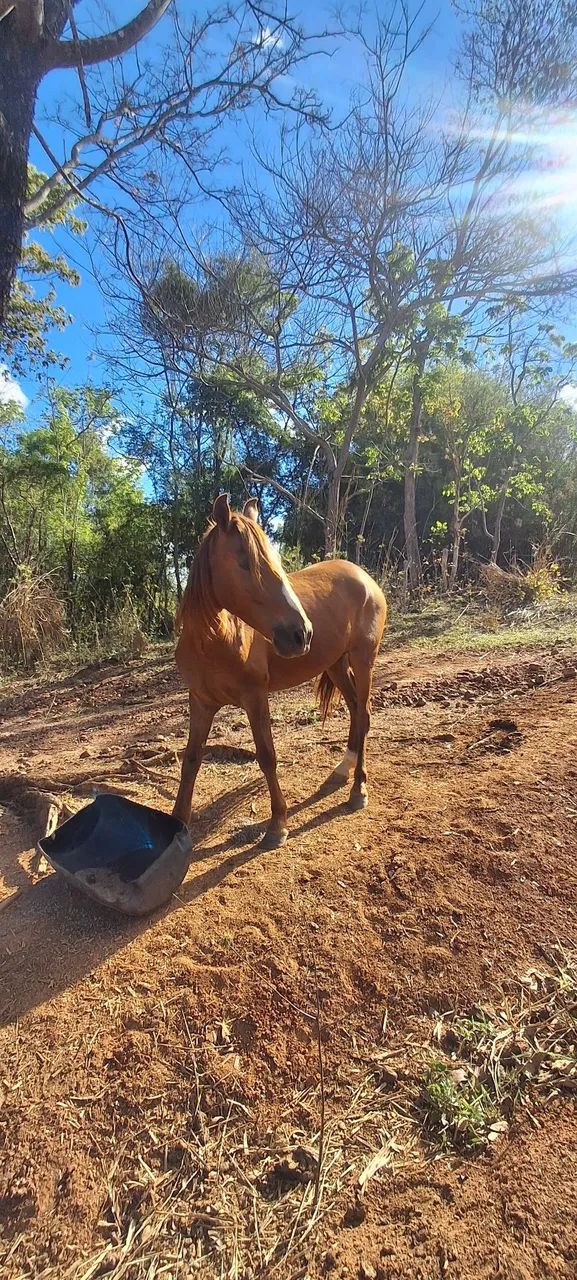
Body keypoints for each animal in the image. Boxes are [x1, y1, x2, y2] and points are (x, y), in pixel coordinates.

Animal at [173, 494, 388, 847]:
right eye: (245, 562)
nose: (302, 633)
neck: (215, 641)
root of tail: (364, 577)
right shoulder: (201, 701)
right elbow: (191, 760)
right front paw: (177, 824)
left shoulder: (255, 697)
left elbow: (267, 756)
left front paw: (277, 824)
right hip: (336, 663)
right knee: (357, 710)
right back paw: (343, 770)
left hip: (362, 658)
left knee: (365, 714)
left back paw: (358, 789)